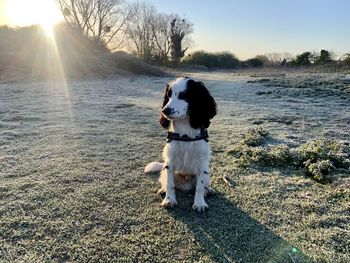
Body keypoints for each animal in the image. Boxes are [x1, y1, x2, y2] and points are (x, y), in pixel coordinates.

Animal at [144, 77, 216, 212]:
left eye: (183, 95)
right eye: (168, 96)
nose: (165, 110)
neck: (185, 133)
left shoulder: (202, 163)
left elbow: (199, 186)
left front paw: (199, 203)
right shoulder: (170, 162)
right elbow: (170, 184)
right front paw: (169, 200)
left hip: (207, 172)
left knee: (203, 184)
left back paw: (208, 190)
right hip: (164, 169)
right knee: (166, 181)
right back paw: (163, 190)